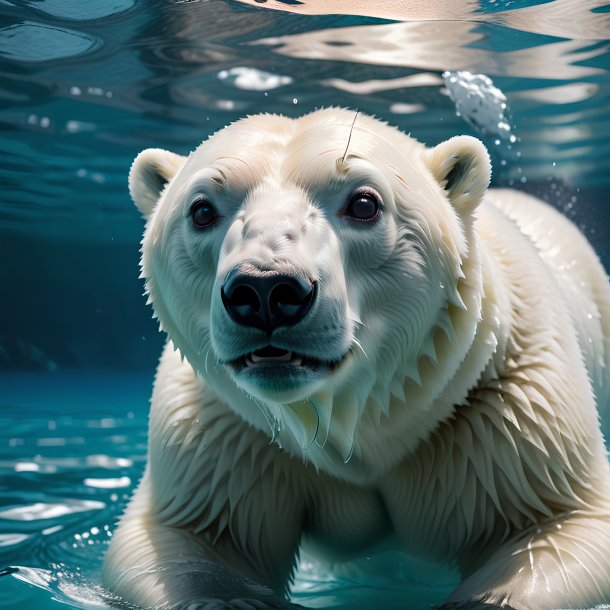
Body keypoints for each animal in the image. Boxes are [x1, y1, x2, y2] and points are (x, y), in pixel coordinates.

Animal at [102, 109, 608, 608]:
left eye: (364, 203)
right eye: (202, 210)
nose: (266, 290)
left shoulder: (504, 405)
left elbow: (561, 523)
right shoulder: (226, 429)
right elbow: (193, 536)